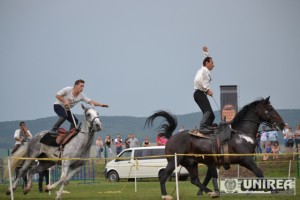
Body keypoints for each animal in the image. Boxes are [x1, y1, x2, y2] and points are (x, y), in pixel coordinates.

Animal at [146, 96, 284, 198]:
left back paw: (211, 192)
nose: (282, 124)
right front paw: (273, 190)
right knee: (163, 176)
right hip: (174, 161)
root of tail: (171, 137)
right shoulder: (246, 160)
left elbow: (258, 175)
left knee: (194, 180)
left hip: (191, 163)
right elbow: (259, 173)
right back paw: (165, 195)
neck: (241, 134)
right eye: (270, 108)